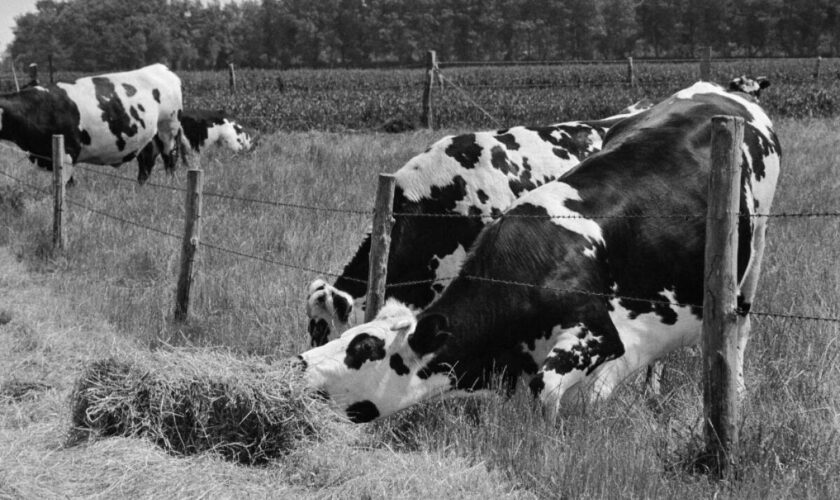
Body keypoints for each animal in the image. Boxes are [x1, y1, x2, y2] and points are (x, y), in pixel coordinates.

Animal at [0, 63, 183, 185]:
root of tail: (161, 68)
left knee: (170, 159)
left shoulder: (67, 152)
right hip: (147, 136)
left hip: (168, 128)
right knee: (146, 160)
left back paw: (170, 185)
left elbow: (64, 185)